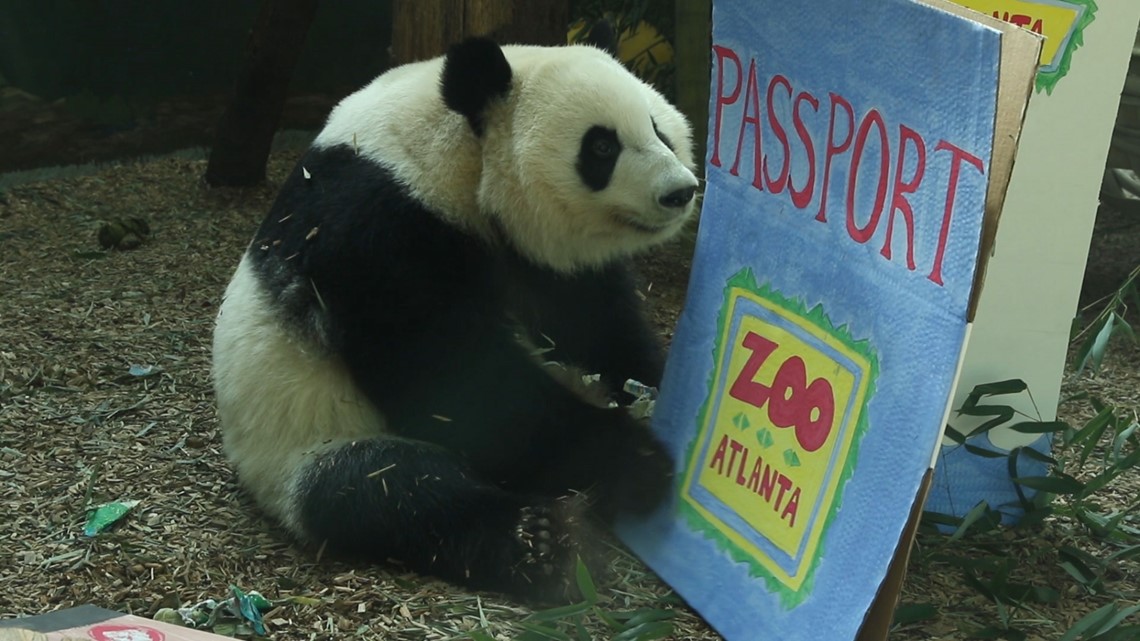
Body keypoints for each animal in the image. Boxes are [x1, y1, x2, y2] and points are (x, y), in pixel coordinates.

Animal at [211, 36, 699, 602]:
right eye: (601, 147)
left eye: (659, 128)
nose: (679, 191)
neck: (451, 152)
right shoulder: (375, 230)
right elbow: (456, 383)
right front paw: (635, 459)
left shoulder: (540, 259)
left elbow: (593, 323)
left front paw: (652, 389)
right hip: (303, 442)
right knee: (389, 491)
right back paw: (545, 544)